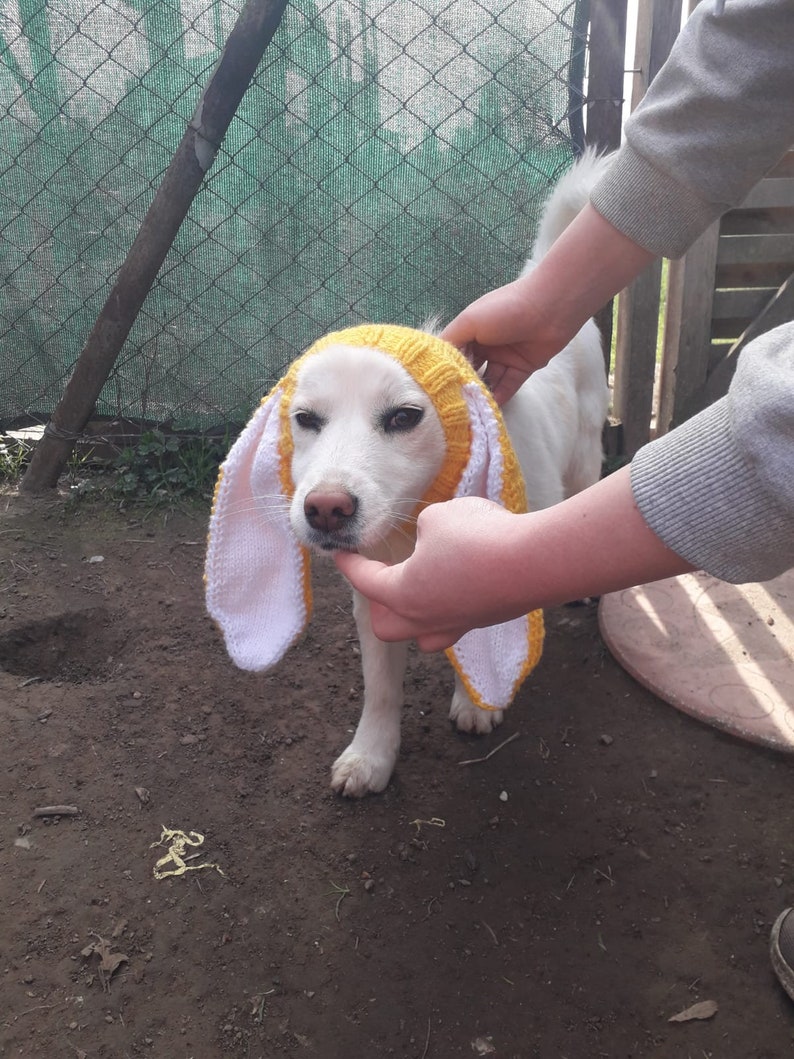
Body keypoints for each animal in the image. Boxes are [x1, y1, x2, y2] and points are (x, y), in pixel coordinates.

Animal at [208, 149, 614, 796]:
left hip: (583, 461)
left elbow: (481, 642)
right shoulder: (375, 602)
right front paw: (371, 757)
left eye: (404, 416)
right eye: (306, 419)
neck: (410, 523)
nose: (326, 510)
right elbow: (380, 691)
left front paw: (476, 705)